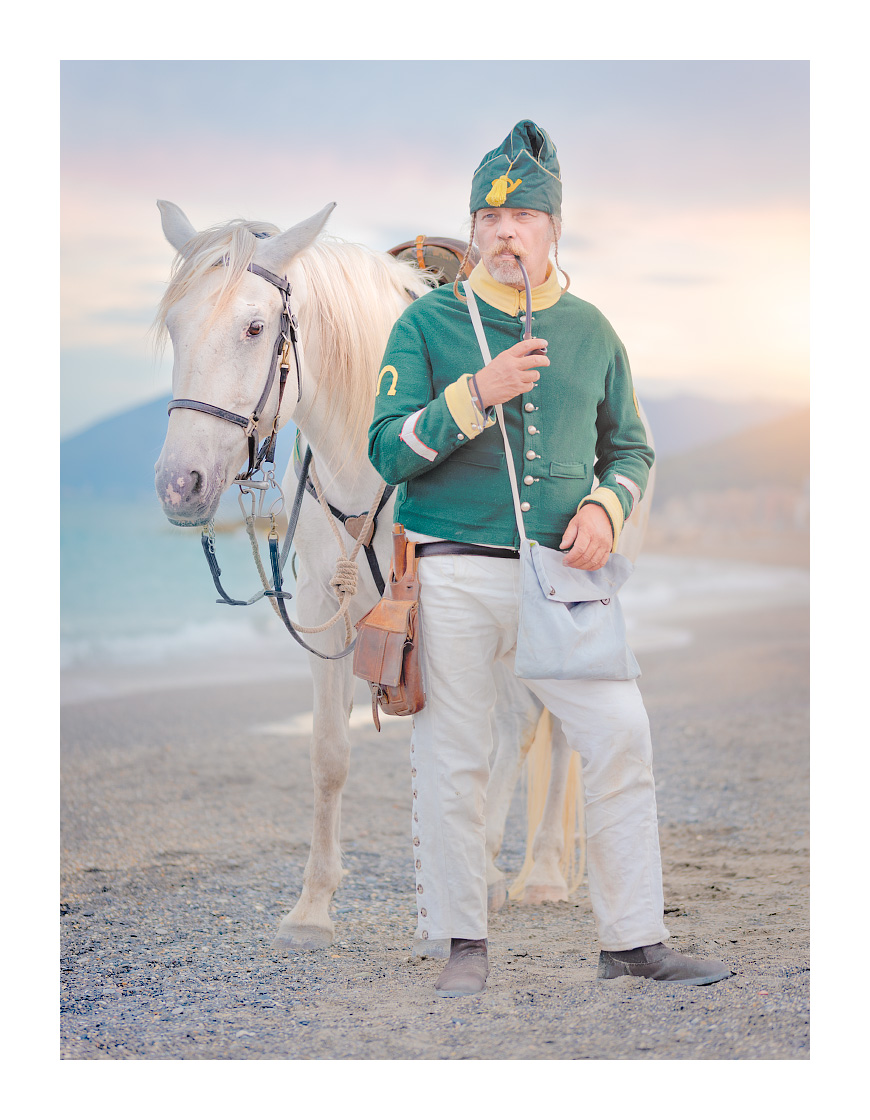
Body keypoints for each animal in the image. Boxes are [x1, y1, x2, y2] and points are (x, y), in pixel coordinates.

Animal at [153, 201, 655, 954]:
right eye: (177, 326)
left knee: (551, 726)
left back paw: (535, 871)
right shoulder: (327, 609)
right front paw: (313, 906)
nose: (179, 484)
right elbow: (330, 754)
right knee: (520, 721)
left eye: (254, 327)